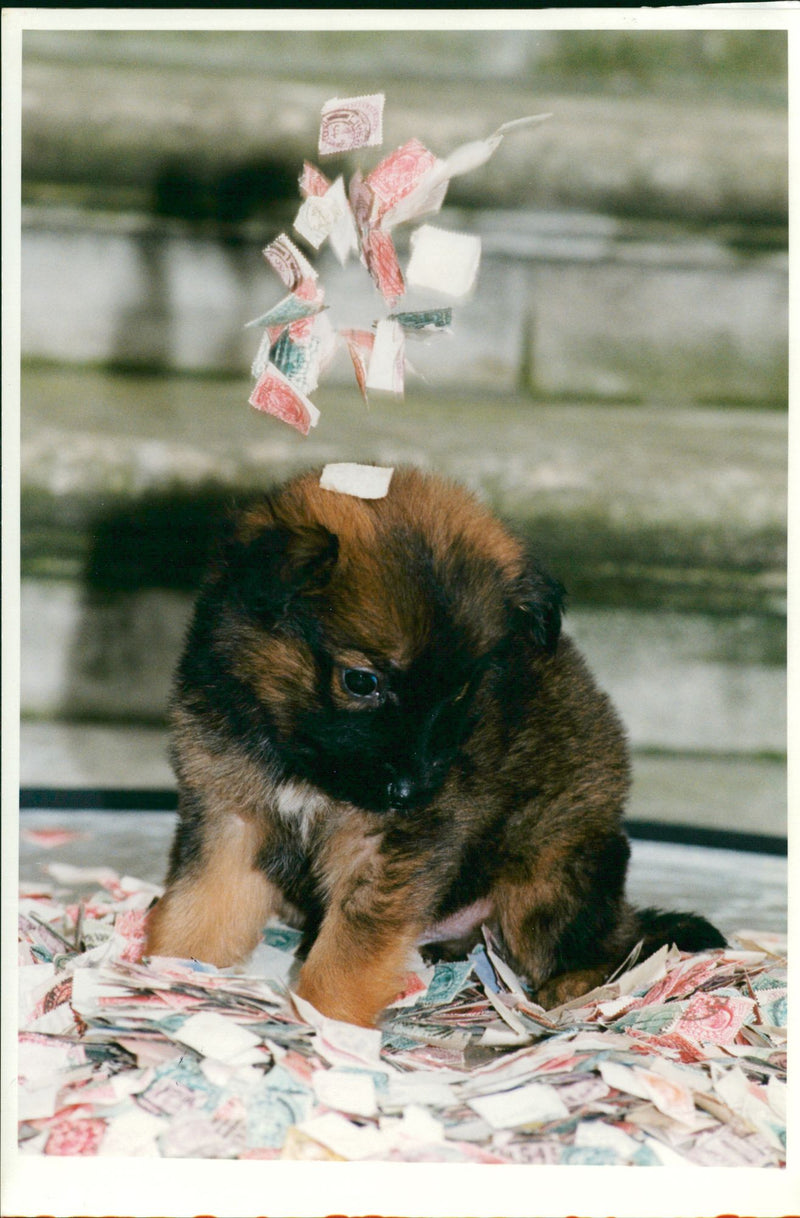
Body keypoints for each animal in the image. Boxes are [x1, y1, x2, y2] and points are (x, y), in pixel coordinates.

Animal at [143, 465, 725, 1027]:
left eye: (462, 689)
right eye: (361, 681)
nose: (411, 792)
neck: (300, 763)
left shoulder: (387, 853)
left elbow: (346, 959)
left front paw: (325, 1027)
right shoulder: (230, 819)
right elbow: (199, 912)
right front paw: (168, 980)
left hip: (546, 876)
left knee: (598, 941)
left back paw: (575, 986)